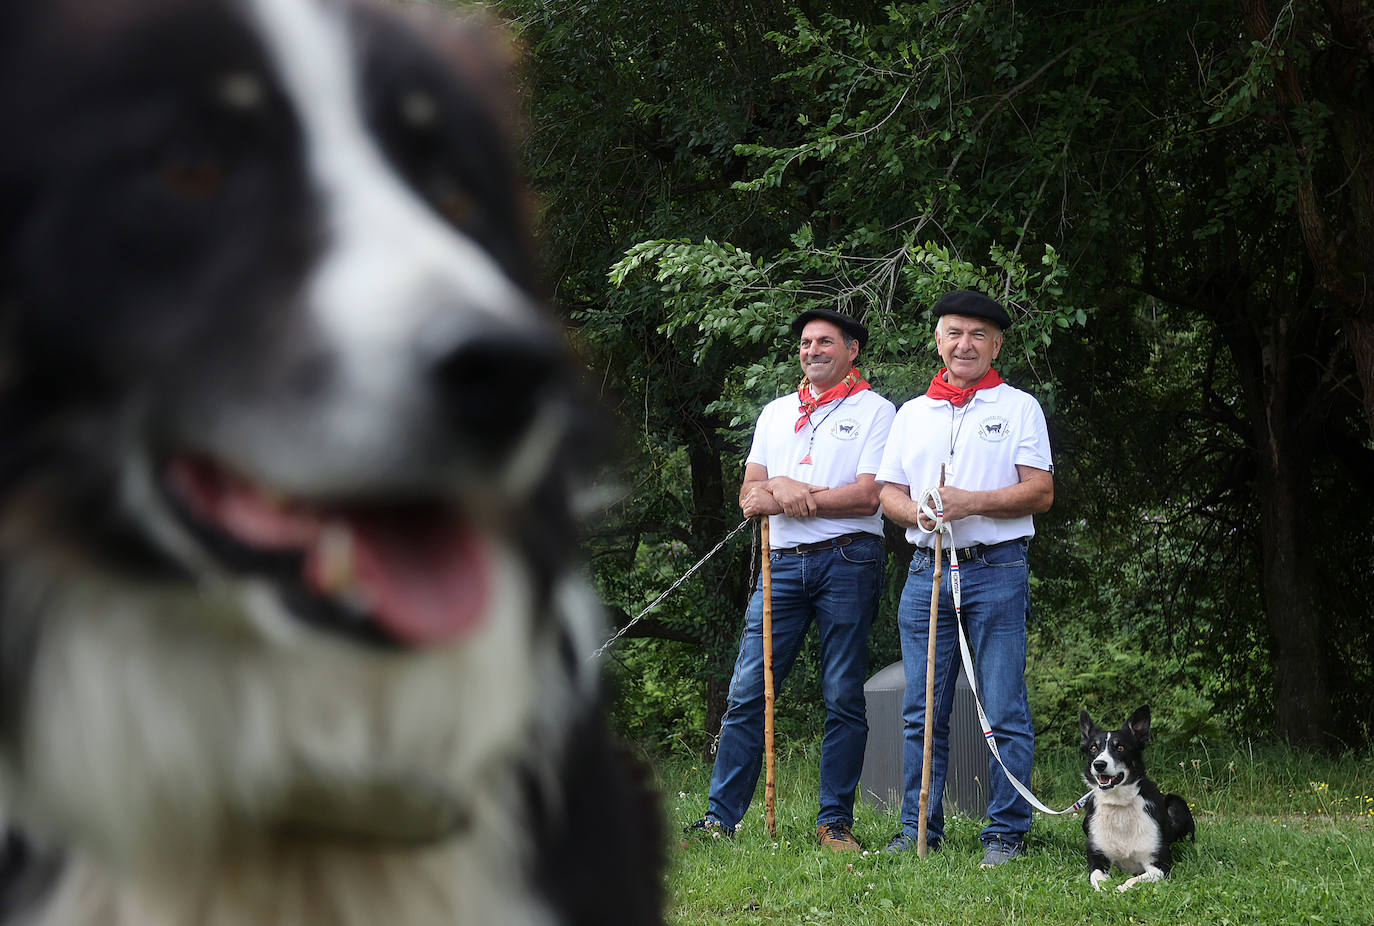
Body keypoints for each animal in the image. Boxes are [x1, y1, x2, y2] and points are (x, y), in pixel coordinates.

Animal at [1082, 703, 1192, 890]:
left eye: (1120, 747)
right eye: (1093, 748)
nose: (1099, 764)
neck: (1119, 804)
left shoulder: (1160, 863)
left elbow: (1133, 881)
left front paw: (1121, 889)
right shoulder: (1098, 857)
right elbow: (1098, 878)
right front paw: (1106, 888)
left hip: (1177, 803)